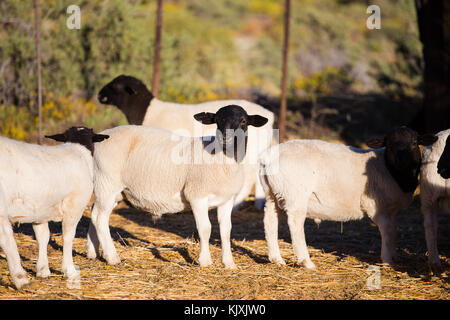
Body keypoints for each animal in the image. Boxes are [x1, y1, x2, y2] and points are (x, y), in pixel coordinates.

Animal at [0, 125, 109, 288]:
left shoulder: (40, 209)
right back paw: (21, 279)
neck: (79, 150)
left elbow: (42, 236)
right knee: (7, 240)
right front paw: (69, 270)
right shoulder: (74, 205)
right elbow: (68, 237)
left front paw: (43, 270)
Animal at [85, 104, 268, 268]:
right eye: (217, 120)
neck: (221, 158)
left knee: (95, 214)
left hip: (112, 189)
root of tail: (100, 137)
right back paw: (112, 257)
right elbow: (205, 228)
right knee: (99, 218)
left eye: (243, 121)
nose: (225, 137)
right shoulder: (197, 195)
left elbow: (226, 230)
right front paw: (205, 261)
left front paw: (229, 263)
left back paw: (92, 252)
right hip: (107, 182)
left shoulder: (227, 199)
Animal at [97, 74, 274, 210]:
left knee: (249, 178)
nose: (99, 95)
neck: (148, 111)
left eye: (116, 86)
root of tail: (269, 115)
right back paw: (259, 204)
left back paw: (238, 204)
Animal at [258, 126, 438, 268]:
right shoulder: (377, 207)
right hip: (295, 195)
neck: (390, 170)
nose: (402, 162)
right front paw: (387, 260)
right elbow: (387, 231)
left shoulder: (390, 210)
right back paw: (306, 262)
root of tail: (268, 157)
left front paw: (394, 256)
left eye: (414, 143)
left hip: (273, 194)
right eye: (390, 145)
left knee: (270, 221)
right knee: (295, 224)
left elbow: (394, 231)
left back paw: (276, 259)